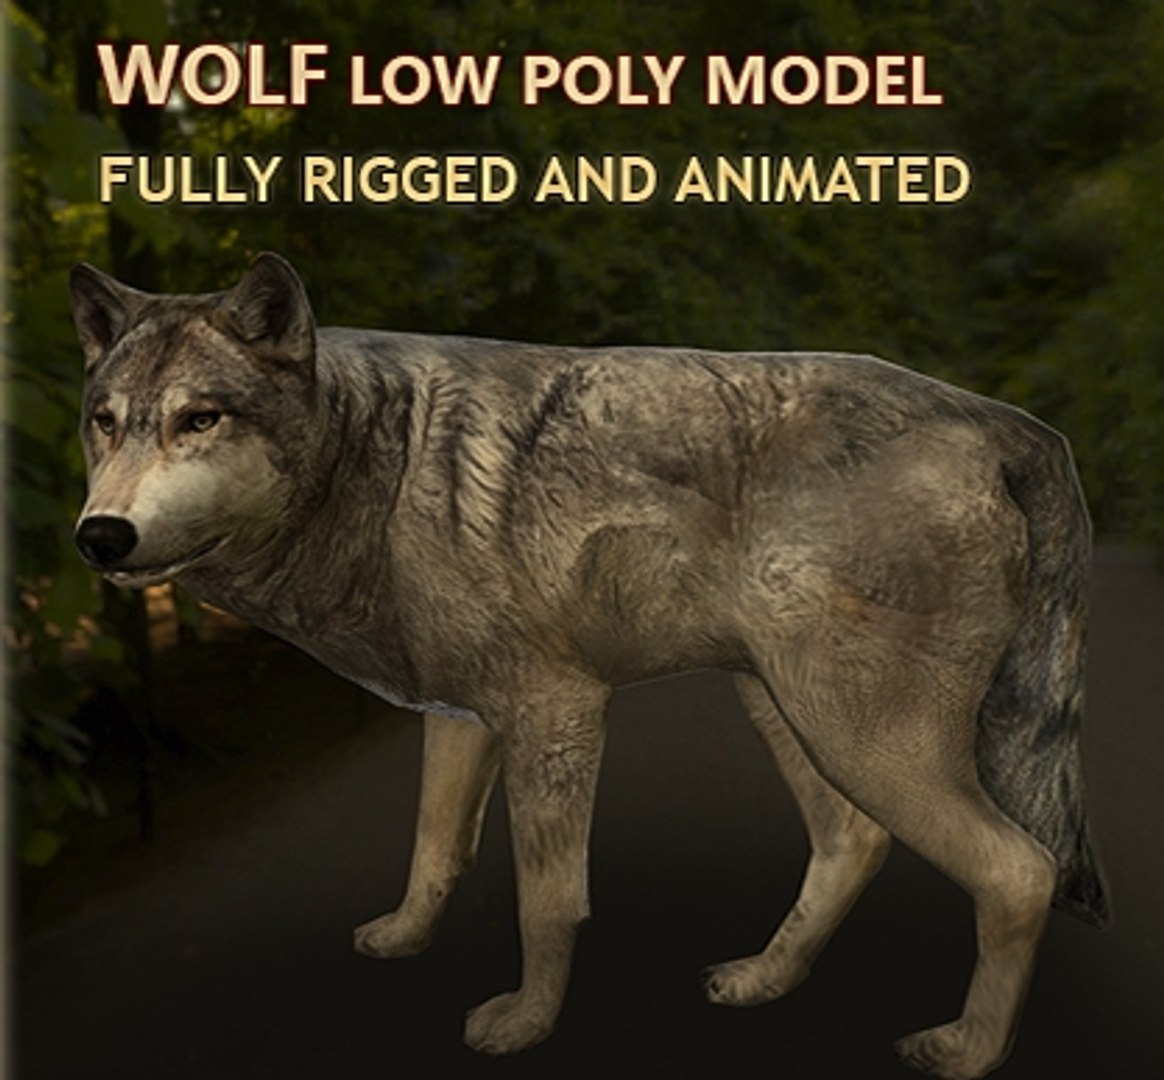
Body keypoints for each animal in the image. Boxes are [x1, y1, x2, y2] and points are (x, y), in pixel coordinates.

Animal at [70, 253, 1108, 1079]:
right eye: (105, 422)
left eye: (200, 420)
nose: (98, 537)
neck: (377, 458)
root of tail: (1009, 423)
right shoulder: (459, 717)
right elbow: (435, 851)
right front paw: (405, 939)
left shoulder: (556, 710)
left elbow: (545, 901)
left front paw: (525, 1024)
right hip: (790, 710)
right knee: (855, 841)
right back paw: (764, 979)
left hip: (857, 733)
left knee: (1020, 870)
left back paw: (967, 1052)